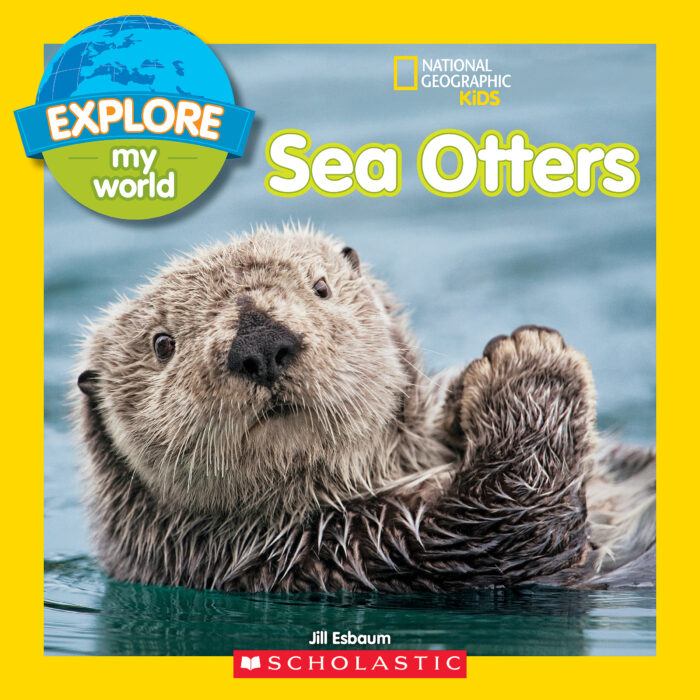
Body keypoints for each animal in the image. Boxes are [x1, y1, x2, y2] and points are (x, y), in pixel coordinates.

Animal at [75, 223, 655, 593]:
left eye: (321, 287)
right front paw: (528, 357)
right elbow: (519, 527)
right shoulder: (370, 559)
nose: (260, 342)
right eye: (162, 344)